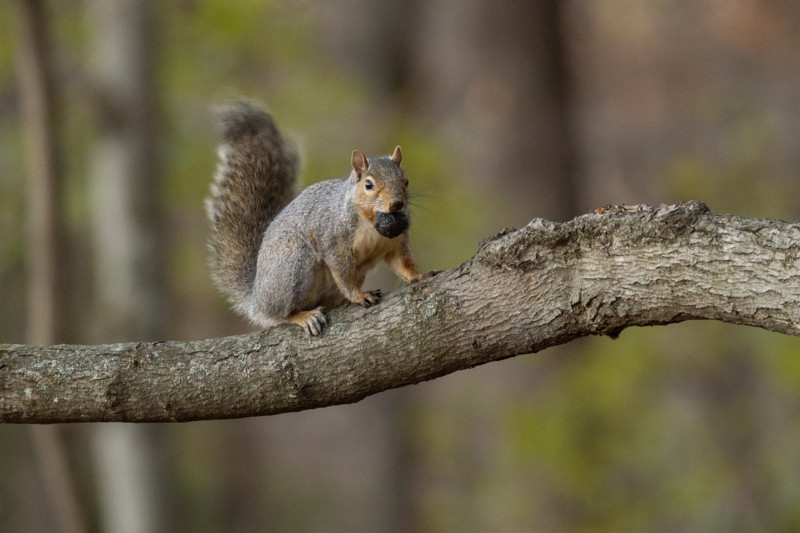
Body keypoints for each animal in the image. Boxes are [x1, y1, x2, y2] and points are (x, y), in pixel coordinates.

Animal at [206, 102, 438, 334]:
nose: (397, 203)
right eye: (368, 184)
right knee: (278, 315)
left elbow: (402, 262)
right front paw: (358, 295)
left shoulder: (395, 243)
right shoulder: (333, 239)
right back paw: (302, 316)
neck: (370, 220)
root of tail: (257, 298)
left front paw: (418, 276)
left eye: (406, 181)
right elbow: (342, 272)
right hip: (294, 264)